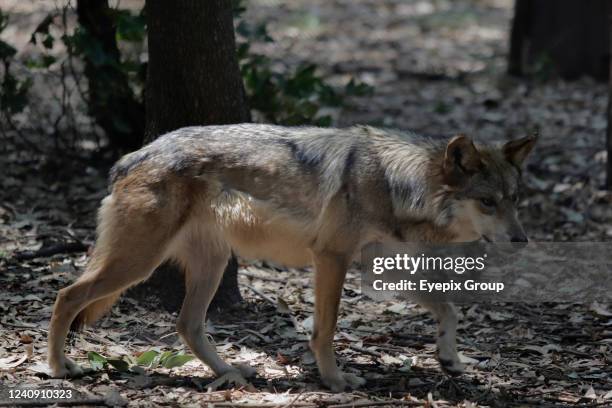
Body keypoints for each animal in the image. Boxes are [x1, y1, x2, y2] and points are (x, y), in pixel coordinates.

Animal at [47, 124, 536, 392]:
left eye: (515, 200)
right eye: (488, 202)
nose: (522, 240)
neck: (397, 182)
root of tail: (131, 157)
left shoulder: (383, 271)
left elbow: (450, 309)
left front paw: (449, 357)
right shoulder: (331, 258)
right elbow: (326, 329)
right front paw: (336, 381)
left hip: (209, 266)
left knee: (187, 325)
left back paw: (231, 373)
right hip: (138, 263)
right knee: (66, 296)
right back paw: (58, 368)